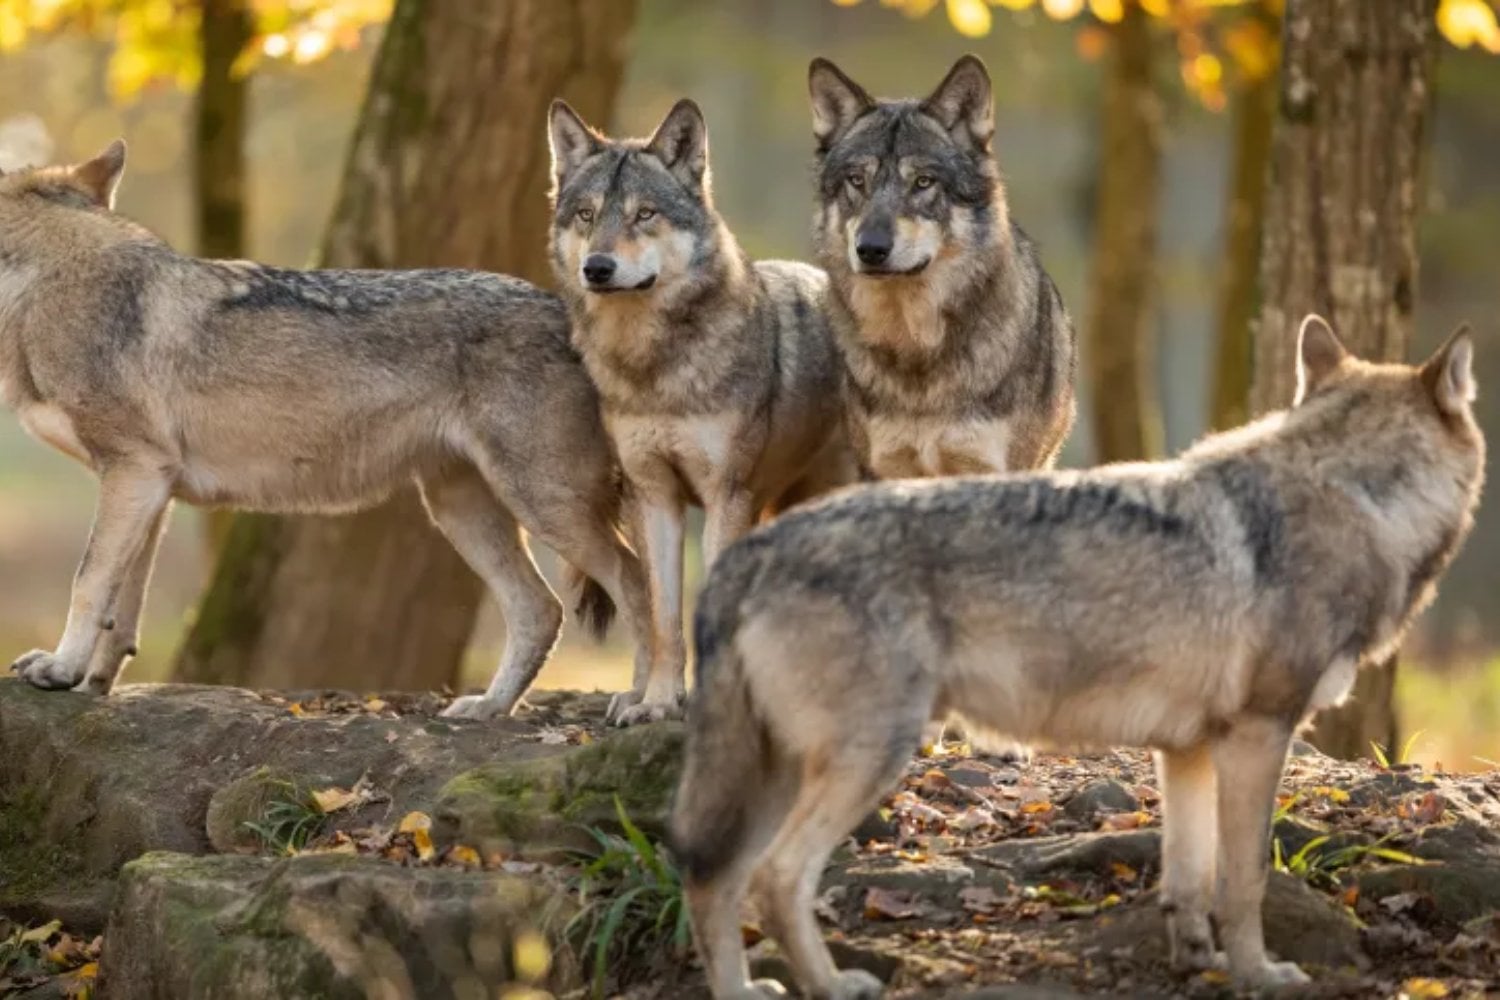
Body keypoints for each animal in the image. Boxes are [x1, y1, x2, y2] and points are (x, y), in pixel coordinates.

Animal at [0, 141, 651, 719]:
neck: (42, 284)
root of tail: (574, 315)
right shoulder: (151, 487)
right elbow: (122, 605)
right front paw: (95, 685)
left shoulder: (132, 472)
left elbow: (88, 580)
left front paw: (60, 670)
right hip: (462, 511)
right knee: (541, 610)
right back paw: (490, 707)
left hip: (543, 506)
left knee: (635, 580)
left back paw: (643, 705)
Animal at [547, 99, 854, 726]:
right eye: (587, 215)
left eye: (644, 215)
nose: (597, 267)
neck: (655, 368)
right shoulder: (655, 496)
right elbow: (665, 618)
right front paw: (659, 702)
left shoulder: (723, 496)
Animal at [670, 316, 1484, 999]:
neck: (1355, 496)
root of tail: (743, 559)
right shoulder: (1258, 735)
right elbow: (1244, 878)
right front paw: (1262, 975)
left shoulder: (1189, 750)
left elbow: (1189, 879)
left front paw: (1197, 962)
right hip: (865, 757)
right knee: (777, 879)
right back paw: (834, 986)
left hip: (778, 772)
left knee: (714, 881)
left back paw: (745, 990)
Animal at [806, 54, 1076, 482]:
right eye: (856, 181)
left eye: (923, 182)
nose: (871, 249)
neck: (917, 348)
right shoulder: (881, 471)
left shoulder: (989, 469)